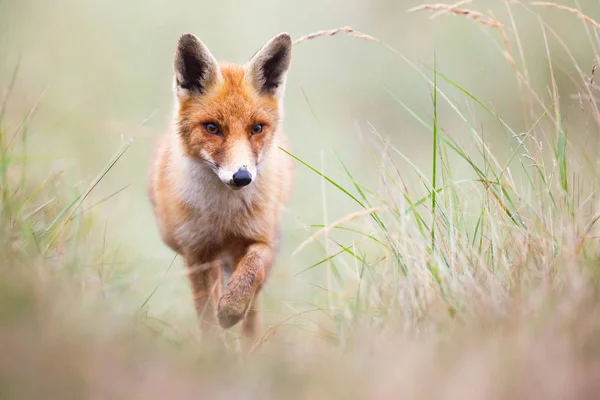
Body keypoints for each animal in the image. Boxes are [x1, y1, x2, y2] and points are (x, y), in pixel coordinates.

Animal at [148, 32, 292, 344]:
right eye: (212, 128)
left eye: (257, 128)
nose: (242, 177)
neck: (224, 217)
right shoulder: (198, 252)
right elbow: (206, 320)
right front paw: (215, 348)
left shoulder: (261, 239)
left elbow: (251, 272)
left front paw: (232, 308)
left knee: (253, 311)